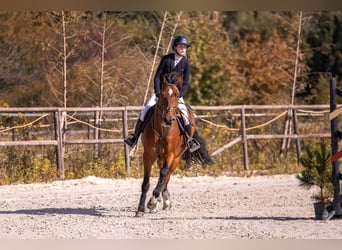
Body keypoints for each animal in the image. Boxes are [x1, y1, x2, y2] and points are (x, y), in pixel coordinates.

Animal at [135, 73, 212, 217]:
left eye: (176, 95)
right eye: (162, 94)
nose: (167, 119)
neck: (162, 130)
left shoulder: (170, 154)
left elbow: (164, 175)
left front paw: (152, 202)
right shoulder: (148, 155)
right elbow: (146, 183)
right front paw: (140, 209)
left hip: (177, 157)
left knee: (166, 175)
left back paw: (160, 200)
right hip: (161, 157)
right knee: (163, 176)